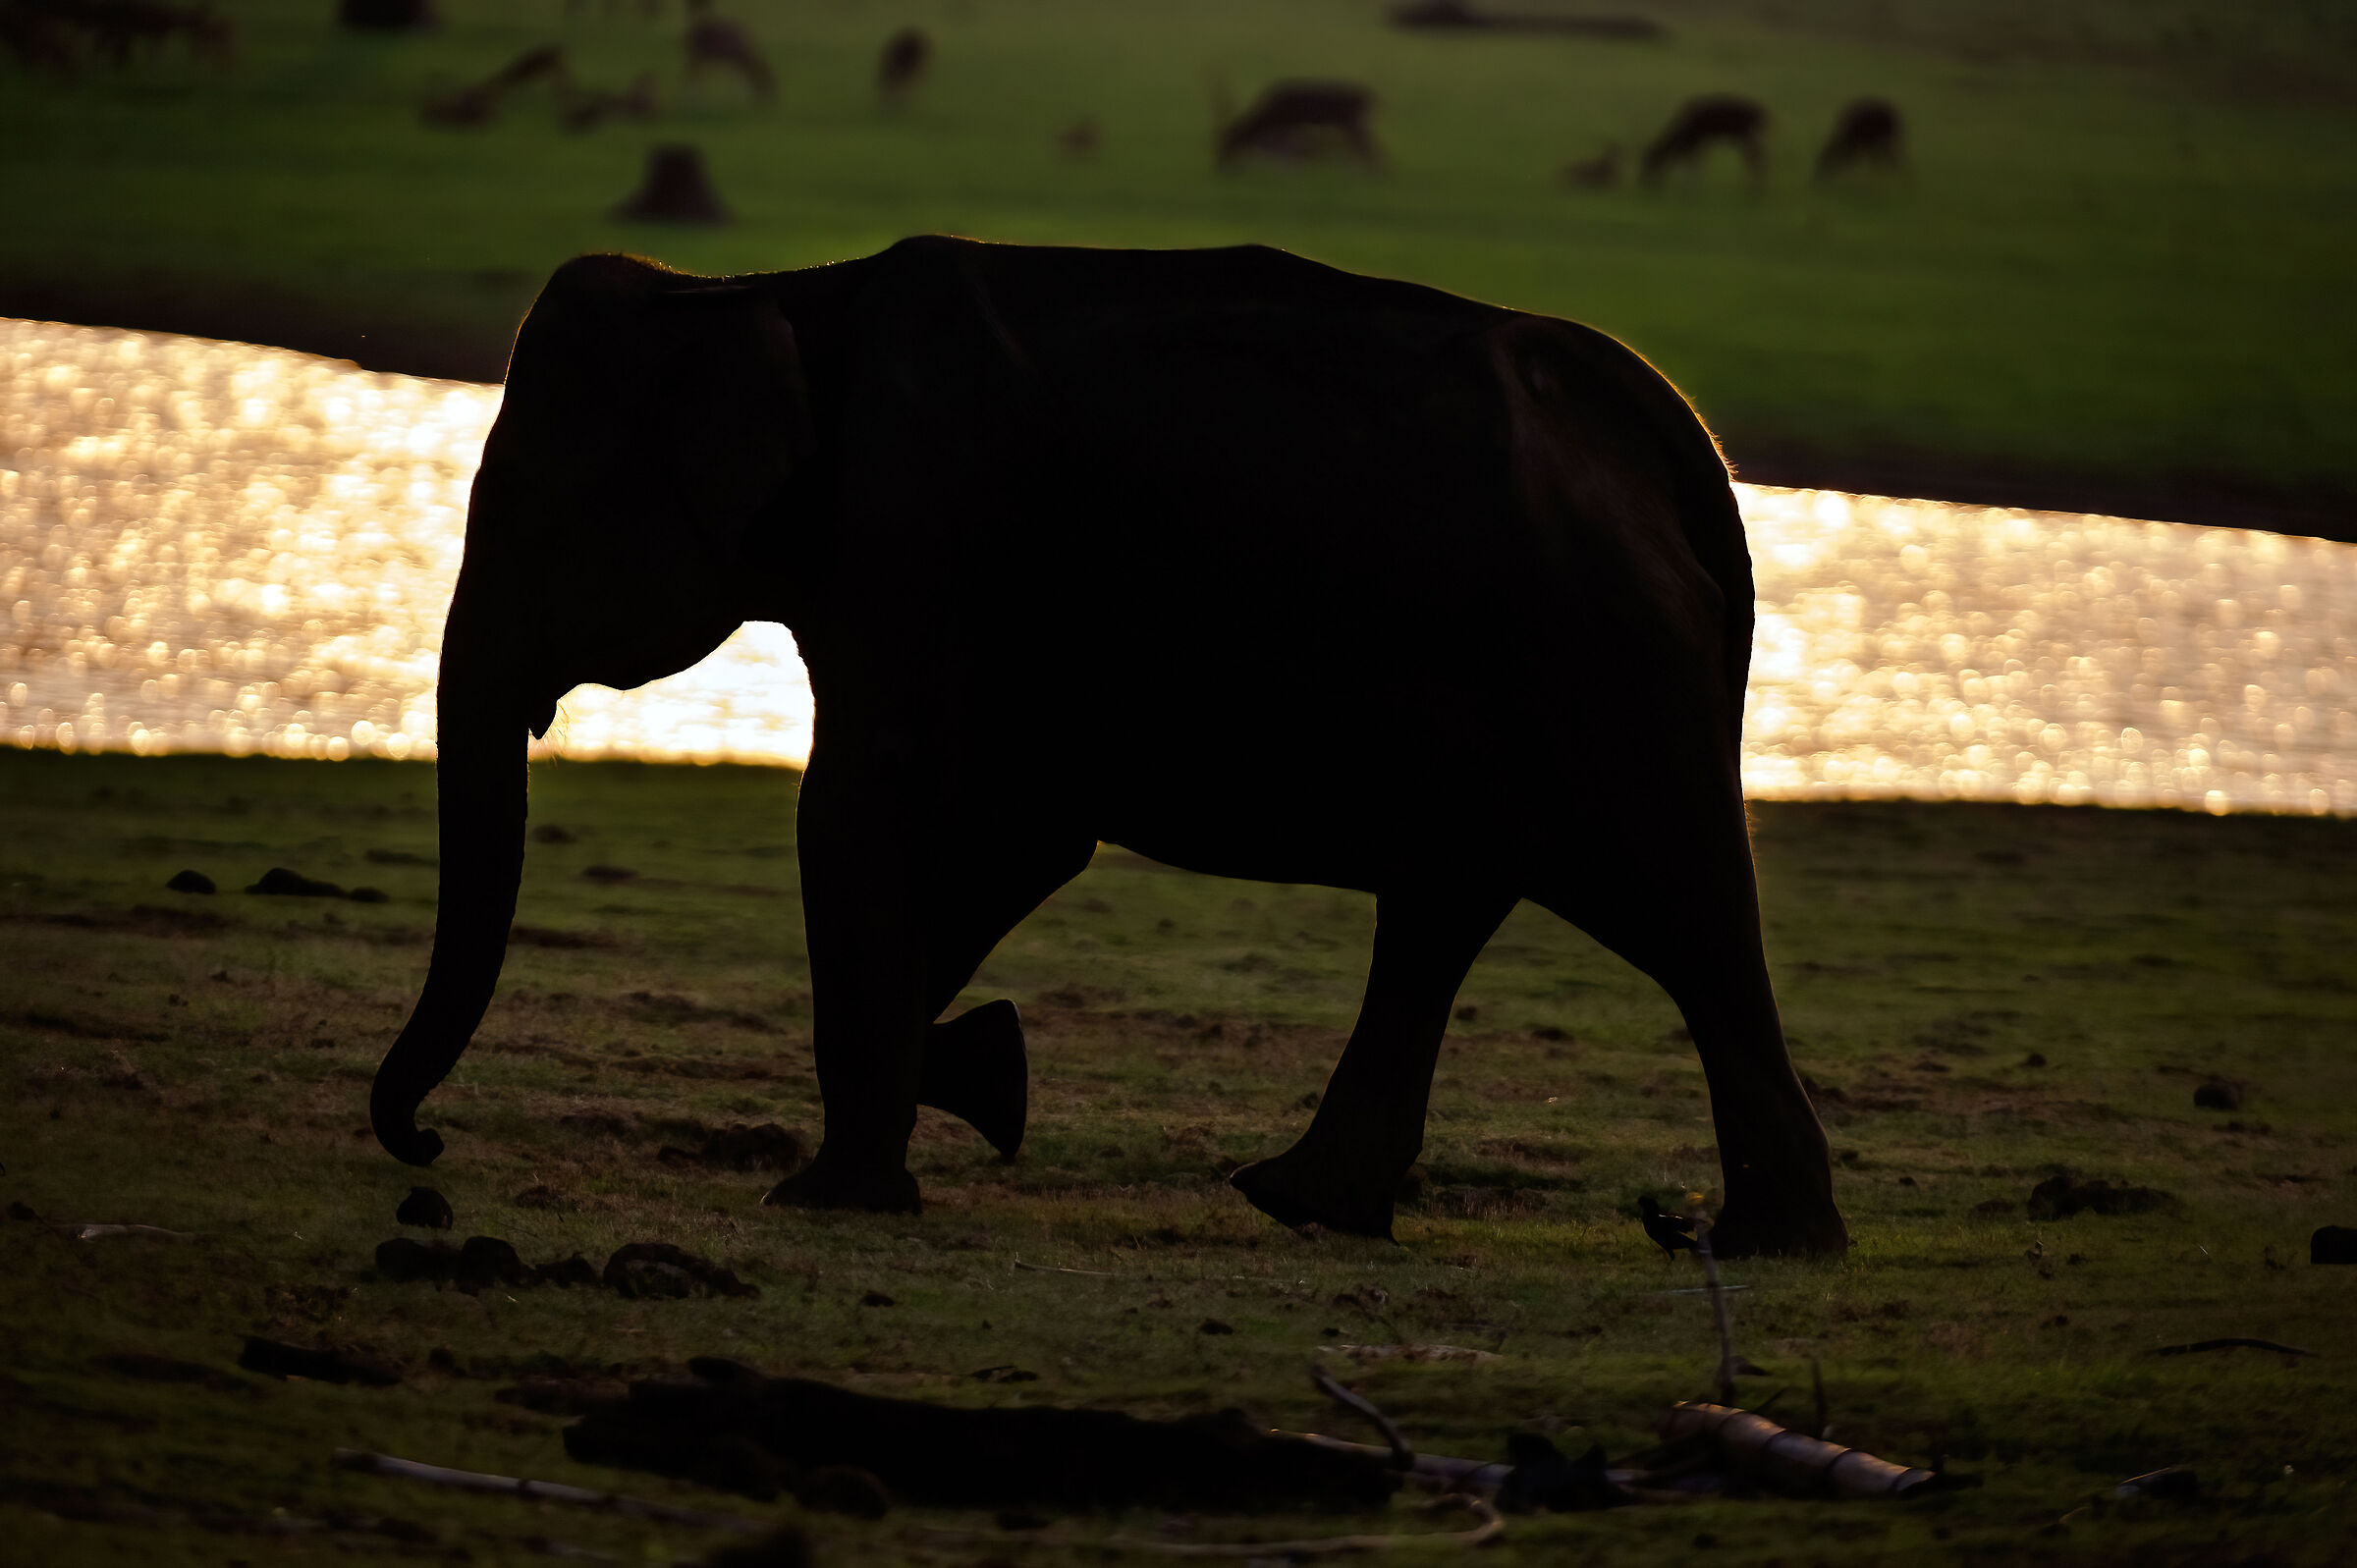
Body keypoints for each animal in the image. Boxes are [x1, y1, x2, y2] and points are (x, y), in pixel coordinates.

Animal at [368, 235, 1849, 1258]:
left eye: (532, 520)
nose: (423, 1141)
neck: (766, 293)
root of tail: (1690, 458)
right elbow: (1014, 835)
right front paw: (975, 1072)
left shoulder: (914, 545)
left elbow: (863, 808)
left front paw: (834, 1191)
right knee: (1461, 904)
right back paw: (1312, 1203)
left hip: (1594, 670)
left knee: (1676, 909)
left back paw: (1761, 1240)